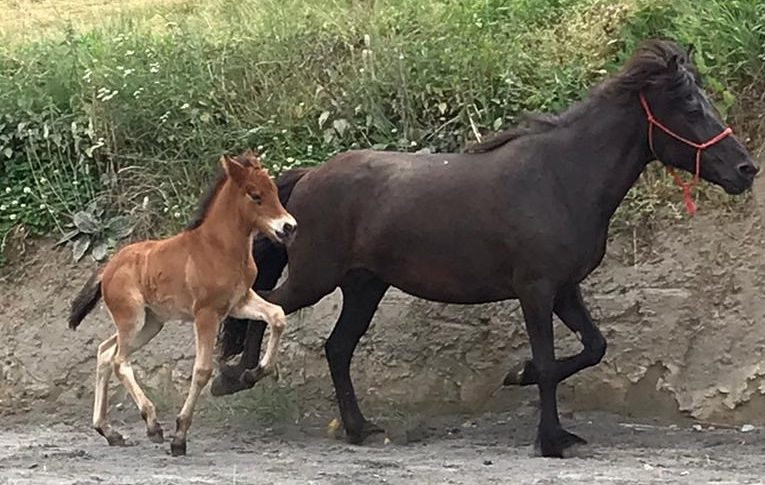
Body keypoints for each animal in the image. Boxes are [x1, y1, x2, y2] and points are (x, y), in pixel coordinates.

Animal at [68, 149, 296, 456]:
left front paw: (256, 372)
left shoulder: (239, 302)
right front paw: (179, 436)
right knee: (119, 360)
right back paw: (152, 425)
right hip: (132, 319)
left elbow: (277, 315)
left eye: (274, 190)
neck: (218, 248)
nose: (289, 227)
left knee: (106, 352)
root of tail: (108, 268)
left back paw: (109, 431)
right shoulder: (206, 314)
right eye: (255, 195)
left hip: (150, 324)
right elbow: (202, 370)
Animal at [210, 39, 760, 456]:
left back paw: (358, 428)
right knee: (268, 307)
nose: (746, 169)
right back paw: (238, 376)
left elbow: (593, 347)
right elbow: (550, 361)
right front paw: (550, 438)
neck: (562, 178)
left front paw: (520, 378)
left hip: (365, 286)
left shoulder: (565, 290)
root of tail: (307, 177)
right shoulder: (536, 290)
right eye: (690, 106)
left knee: (337, 346)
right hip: (317, 277)